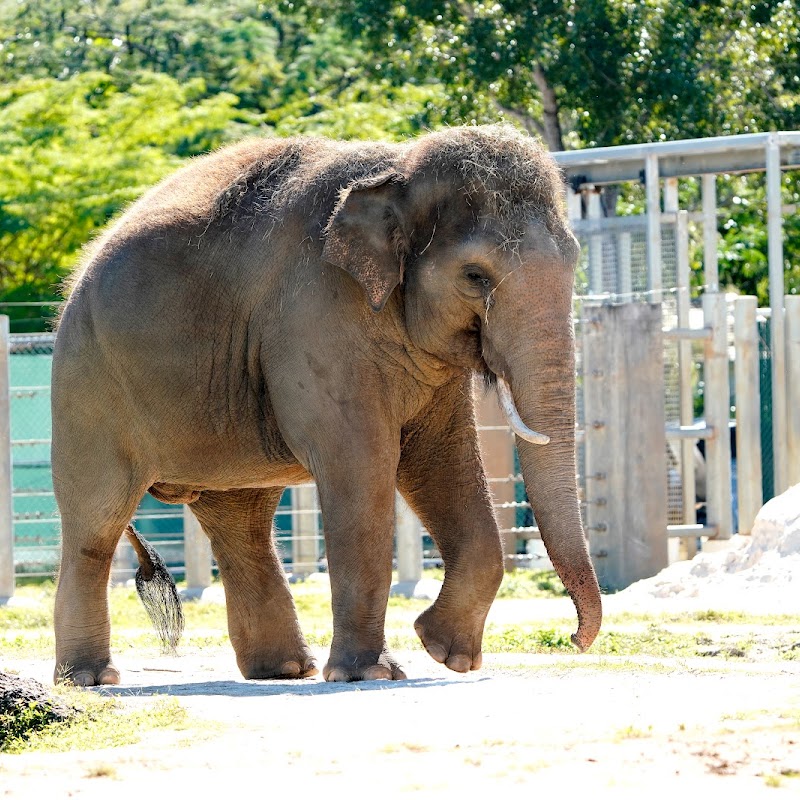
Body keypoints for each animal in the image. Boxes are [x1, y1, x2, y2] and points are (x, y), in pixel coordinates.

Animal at [51, 122, 600, 684]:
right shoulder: (317, 313)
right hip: (88, 384)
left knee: (241, 521)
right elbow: (362, 468)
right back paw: (91, 679)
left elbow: (442, 460)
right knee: (96, 520)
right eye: (475, 276)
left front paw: (446, 653)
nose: (574, 639)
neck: (398, 168)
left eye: (575, 261)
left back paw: (285, 670)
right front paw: (371, 674)